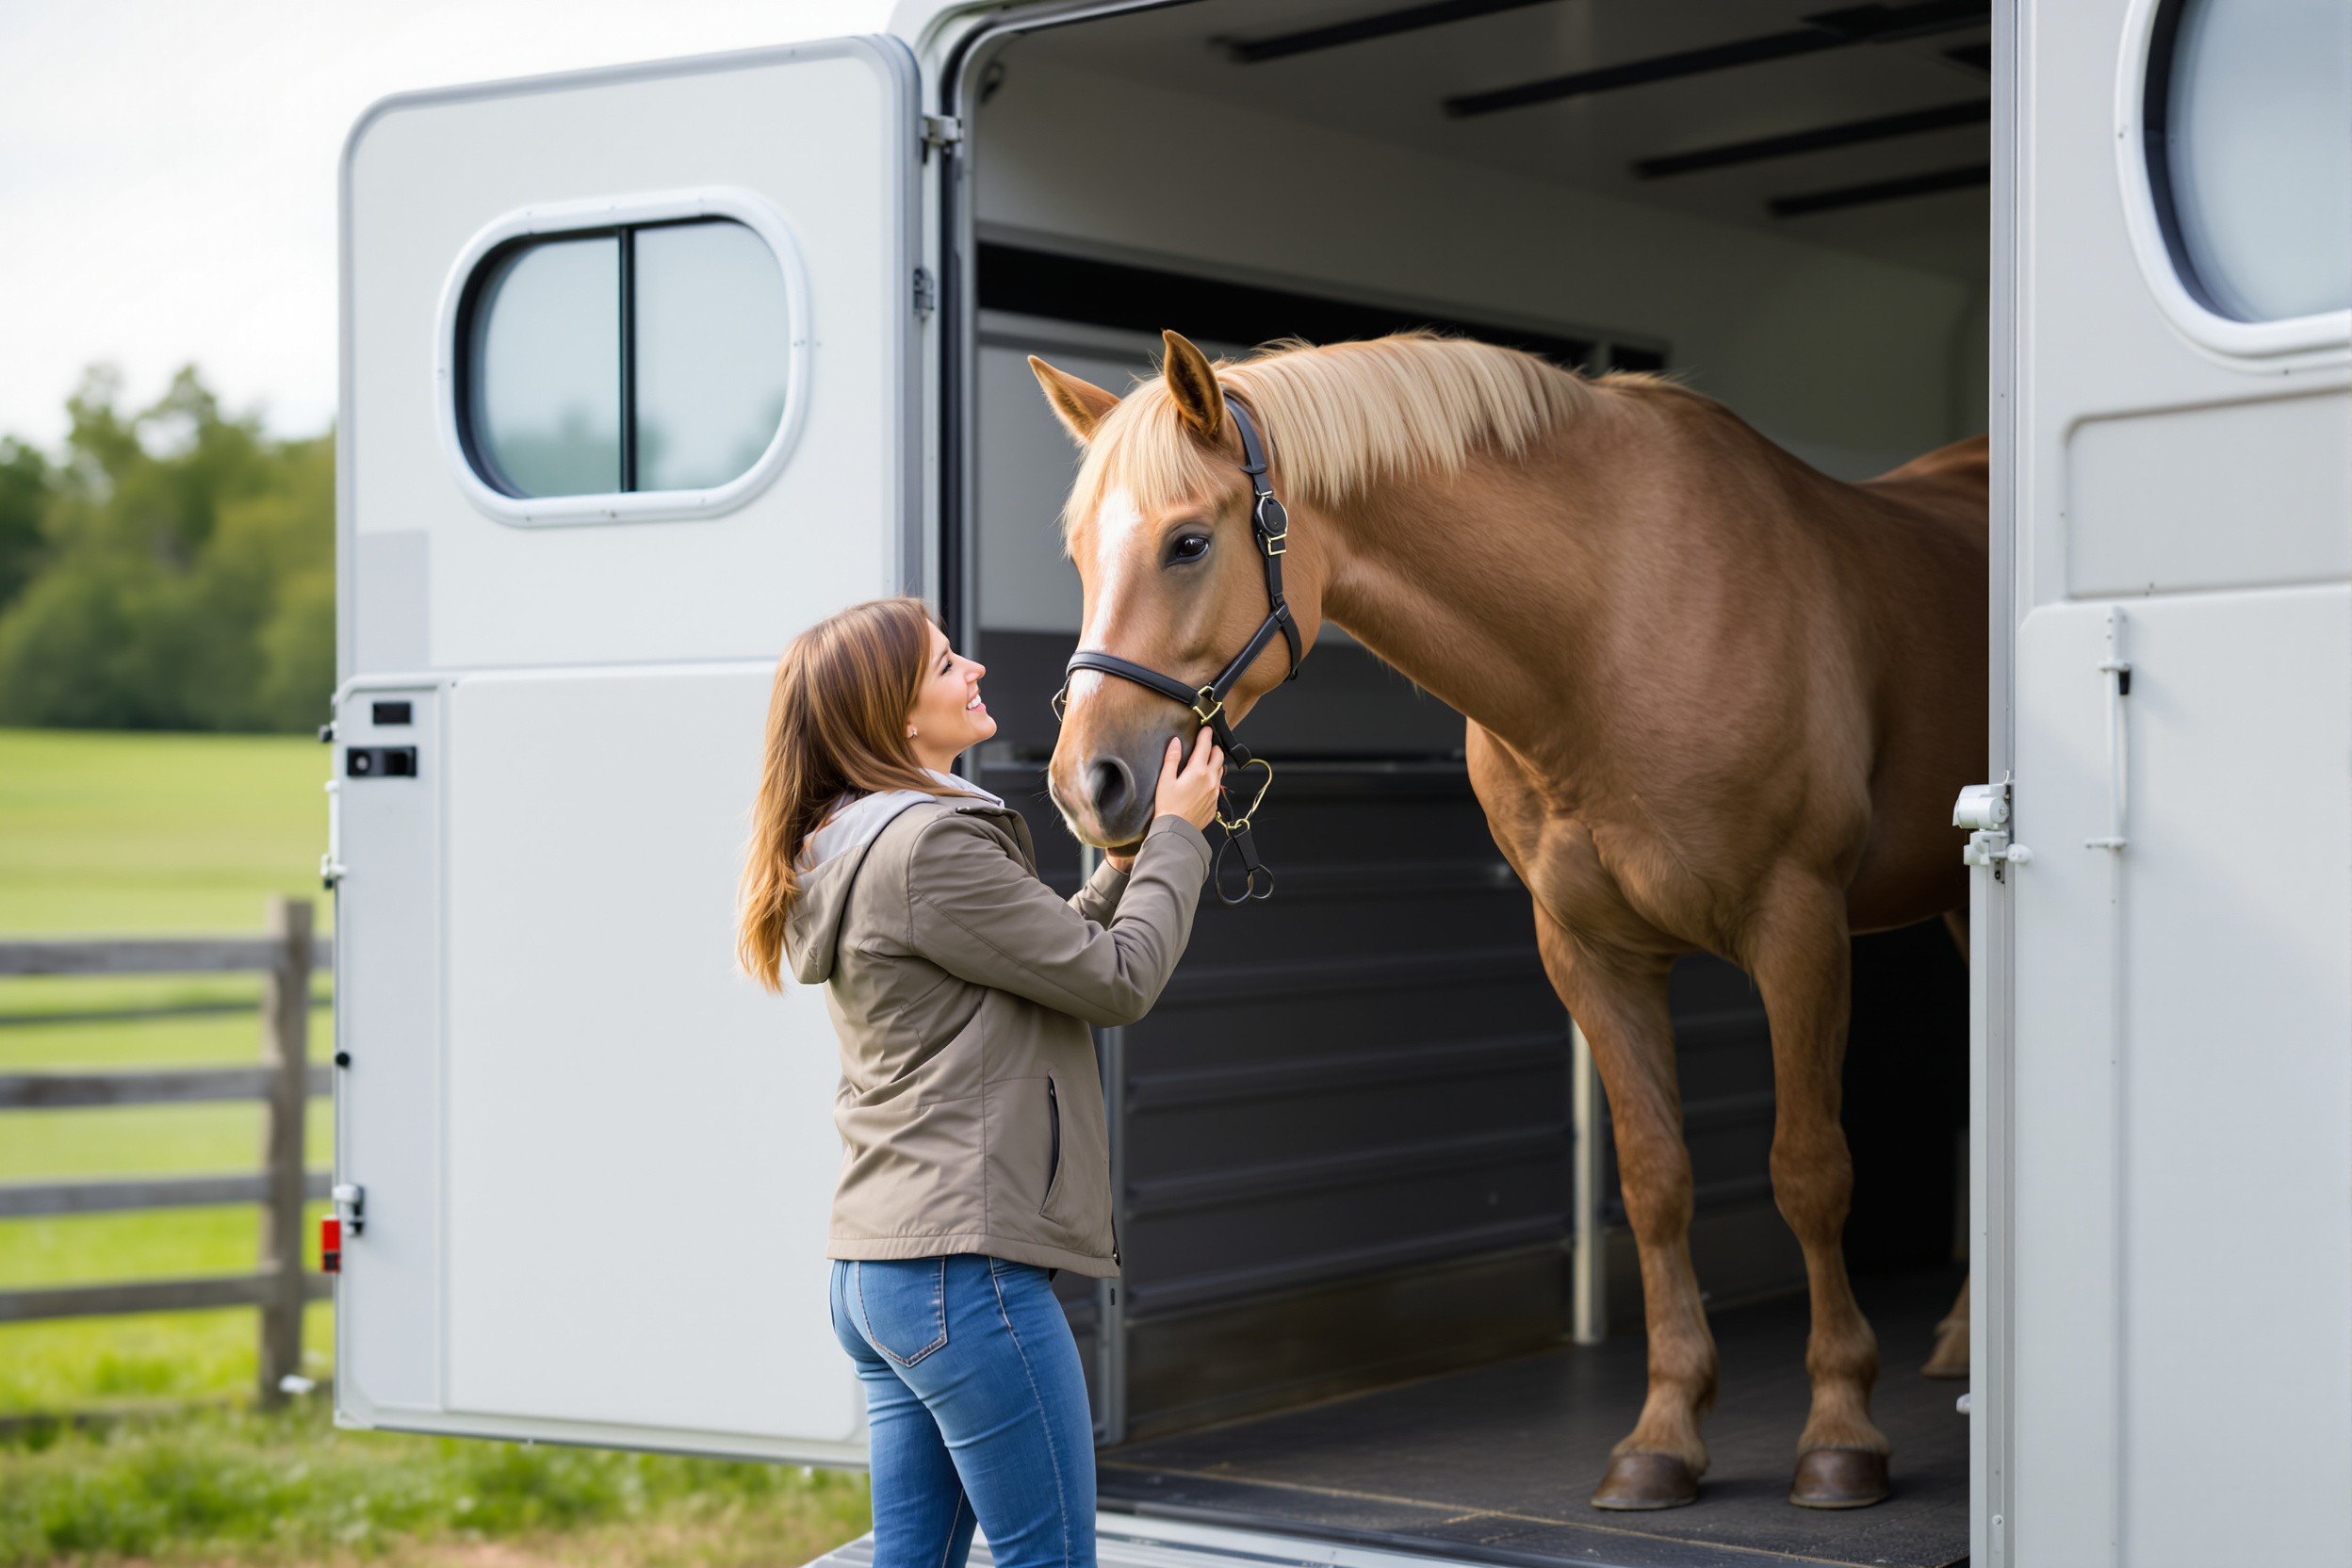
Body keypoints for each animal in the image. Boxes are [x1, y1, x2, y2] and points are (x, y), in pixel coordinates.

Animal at [1030, 329, 1986, 1511]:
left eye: (1189, 542)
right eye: (1079, 554)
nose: (1089, 784)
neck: (1612, 628)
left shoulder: (1798, 923)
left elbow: (1810, 1170)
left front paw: (1842, 1431)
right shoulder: (1590, 953)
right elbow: (1654, 1179)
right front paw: (1663, 1437)